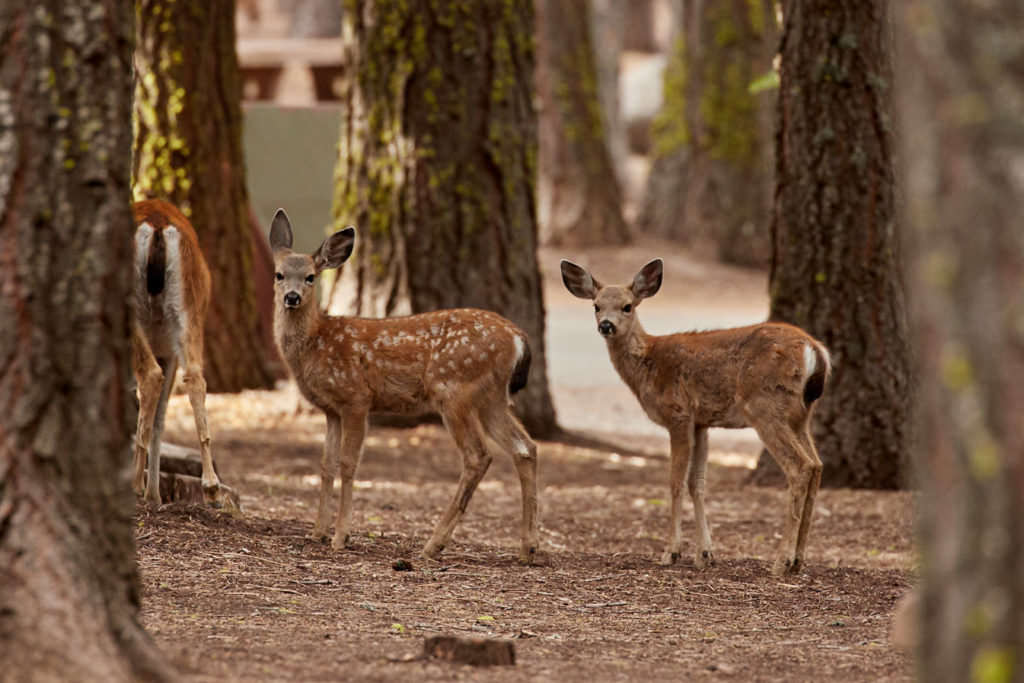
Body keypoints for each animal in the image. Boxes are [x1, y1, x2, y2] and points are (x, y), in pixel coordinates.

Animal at [132, 200, 220, 505]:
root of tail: (158, 224)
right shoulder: (167, 350)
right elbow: (160, 417)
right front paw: (155, 494)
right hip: (188, 311)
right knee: (194, 378)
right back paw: (211, 486)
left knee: (149, 375)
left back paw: (136, 484)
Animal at [268, 210, 540, 565]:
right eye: (279, 274)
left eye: (311, 277)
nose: (292, 297)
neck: (316, 343)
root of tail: (518, 338)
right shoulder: (331, 410)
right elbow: (326, 465)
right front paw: (317, 532)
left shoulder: (356, 399)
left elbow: (348, 464)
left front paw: (340, 537)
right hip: (491, 397)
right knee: (525, 447)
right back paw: (528, 548)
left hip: (455, 390)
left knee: (478, 456)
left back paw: (434, 544)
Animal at [561, 259, 831, 573]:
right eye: (596, 305)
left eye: (627, 306)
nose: (606, 325)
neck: (648, 364)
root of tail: (816, 351)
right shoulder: (702, 422)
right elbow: (697, 483)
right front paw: (705, 554)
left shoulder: (678, 414)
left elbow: (675, 481)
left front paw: (671, 552)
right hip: (801, 414)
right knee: (817, 465)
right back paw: (798, 560)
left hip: (764, 406)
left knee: (800, 466)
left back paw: (781, 561)